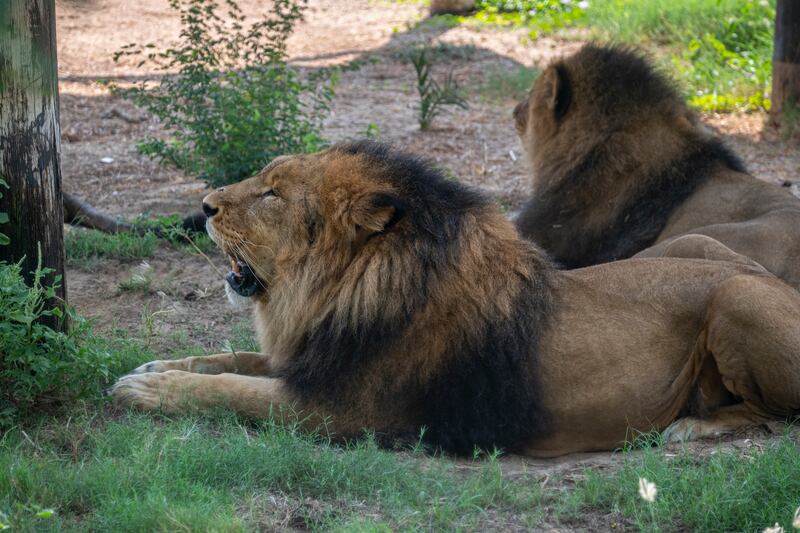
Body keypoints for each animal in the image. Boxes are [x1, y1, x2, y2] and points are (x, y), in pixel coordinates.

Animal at [111, 141, 800, 458]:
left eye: (273, 194)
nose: (204, 206)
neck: (329, 296)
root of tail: (775, 283)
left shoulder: (342, 411)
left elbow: (233, 392)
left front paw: (145, 390)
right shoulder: (310, 357)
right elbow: (227, 360)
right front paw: (154, 366)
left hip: (736, 293)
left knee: (778, 415)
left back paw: (688, 428)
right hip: (693, 244)